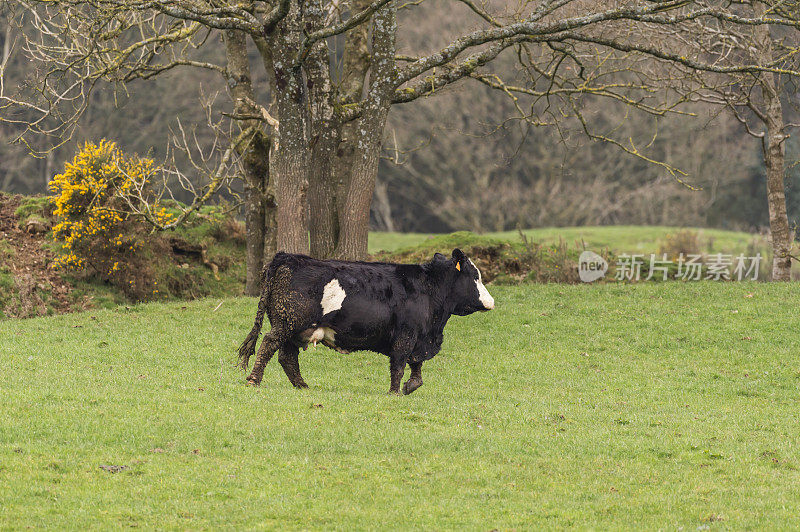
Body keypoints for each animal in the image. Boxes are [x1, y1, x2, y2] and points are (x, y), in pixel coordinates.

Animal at [236, 249, 494, 394]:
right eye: (476, 276)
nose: (491, 302)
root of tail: (287, 257)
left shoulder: (420, 338)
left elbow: (416, 365)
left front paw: (411, 386)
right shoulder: (406, 335)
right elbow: (399, 365)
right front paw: (395, 392)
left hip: (294, 329)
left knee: (287, 357)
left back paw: (302, 386)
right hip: (287, 322)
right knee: (269, 344)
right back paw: (254, 380)